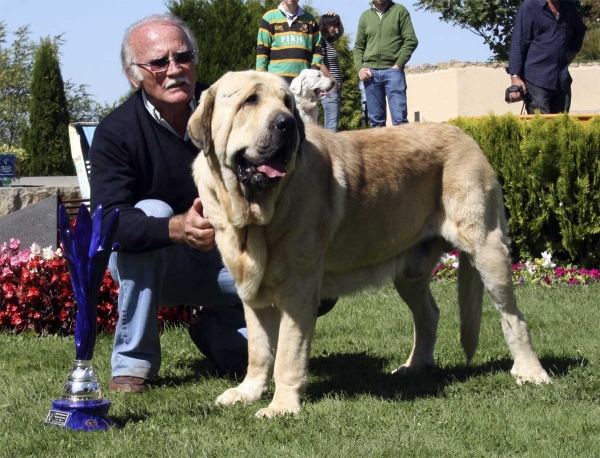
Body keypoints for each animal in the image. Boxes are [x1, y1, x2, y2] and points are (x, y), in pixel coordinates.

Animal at [189, 71, 552, 418]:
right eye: (250, 100)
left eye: (287, 103)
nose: (287, 123)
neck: (255, 215)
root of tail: (467, 136)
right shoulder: (253, 292)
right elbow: (259, 350)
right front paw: (248, 391)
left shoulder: (297, 291)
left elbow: (288, 355)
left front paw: (282, 406)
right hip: (409, 273)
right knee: (429, 315)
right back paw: (414, 366)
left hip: (488, 251)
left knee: (513, 316)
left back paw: (531, 372)